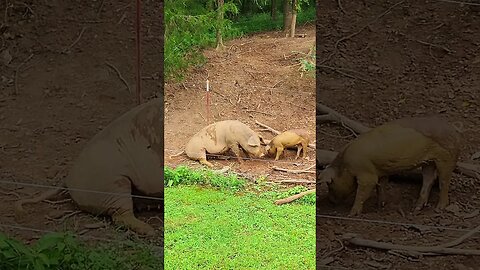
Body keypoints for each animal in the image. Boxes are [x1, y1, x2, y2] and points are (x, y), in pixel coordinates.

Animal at [318, 116, 462, 215]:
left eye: (330, 184)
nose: (330, 201)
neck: (345, 166)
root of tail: (453, 127)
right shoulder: (380, 172)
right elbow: (381, 186)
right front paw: (380, 206)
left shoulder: (367, 174)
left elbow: (363, 192)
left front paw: (351, 214)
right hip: (428, 162)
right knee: (428, 180)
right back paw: (416, 208)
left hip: (447, 157)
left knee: (444, 181)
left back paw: (439, 208)